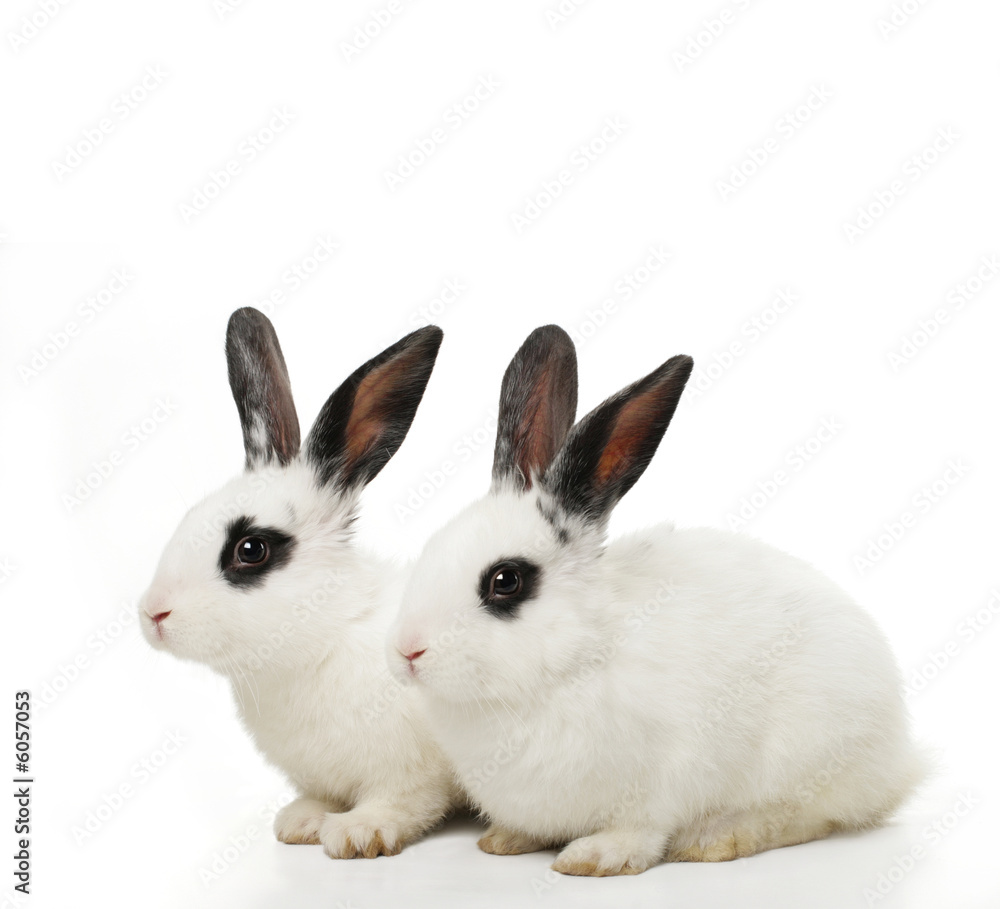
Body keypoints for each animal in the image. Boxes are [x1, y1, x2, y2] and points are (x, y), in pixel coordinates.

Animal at [139, 307, 459, 859]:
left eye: (251, 550)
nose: (153, 613)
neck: (327, 633)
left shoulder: (411, 772)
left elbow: (404, 802)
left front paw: (358, 833)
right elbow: (321, 797)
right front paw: (299, 823)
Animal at [388, 325, 926, 876]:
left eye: (506, 580)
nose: (407, 651)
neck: (573, 659)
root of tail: (900, 755)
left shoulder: (662, 779)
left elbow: (639, 830)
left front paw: (594, 858)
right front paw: (505, 840)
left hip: (810, 755)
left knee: (806, 816)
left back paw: (718, 839)